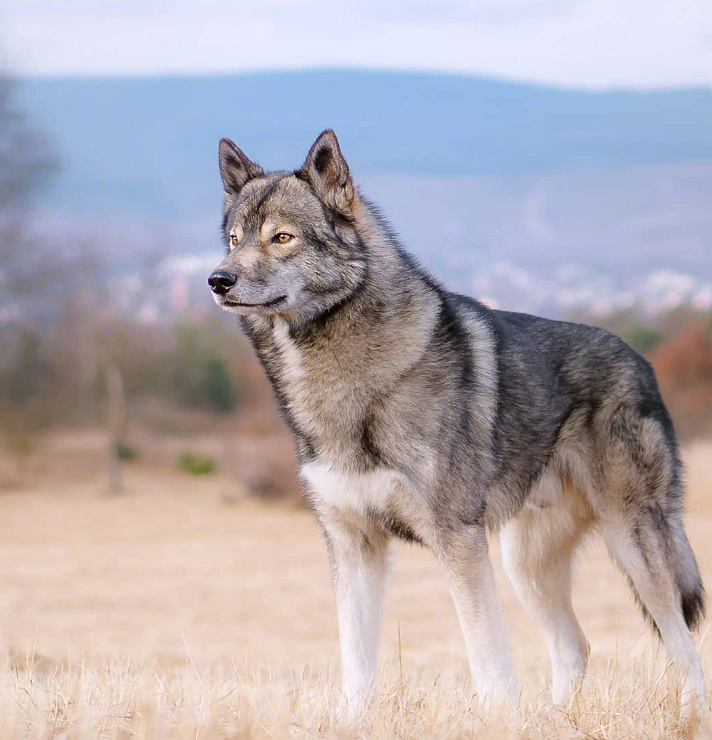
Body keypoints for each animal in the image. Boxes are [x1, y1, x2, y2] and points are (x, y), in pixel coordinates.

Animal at [207, 130, 708, 712]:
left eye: (281, 237)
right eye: (235, 239)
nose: (217, 279)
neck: (346, 383)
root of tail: (643, 364)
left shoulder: (458, 541)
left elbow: (487, 655)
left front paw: (496, 717)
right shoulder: (353, 544)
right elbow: (356, 662)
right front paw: (352, 719)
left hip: (633, 546)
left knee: (682, 643)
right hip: (526, 566)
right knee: (575, 646)